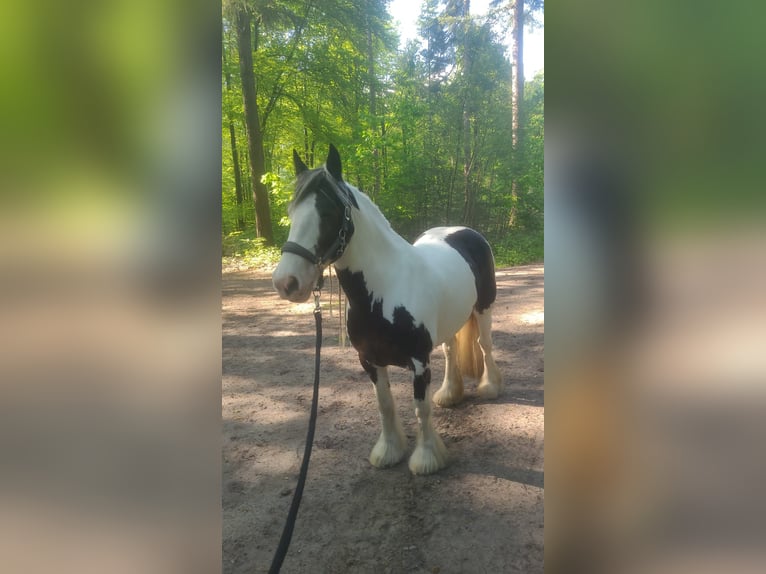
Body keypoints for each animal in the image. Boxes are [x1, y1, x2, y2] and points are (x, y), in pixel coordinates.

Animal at [272, 145, 504, 476]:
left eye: (327, 213)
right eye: (292, 213)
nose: (286, 282)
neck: (384, 290)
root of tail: (464, 231)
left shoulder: (418, 362)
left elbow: (421, 409)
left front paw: (427, 458)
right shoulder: (369, 360)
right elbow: (385, 405)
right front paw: (388, 451)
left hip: (484, 308)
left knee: (485, 346)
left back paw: (489, 387)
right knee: (451, 351)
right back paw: (449, 394)